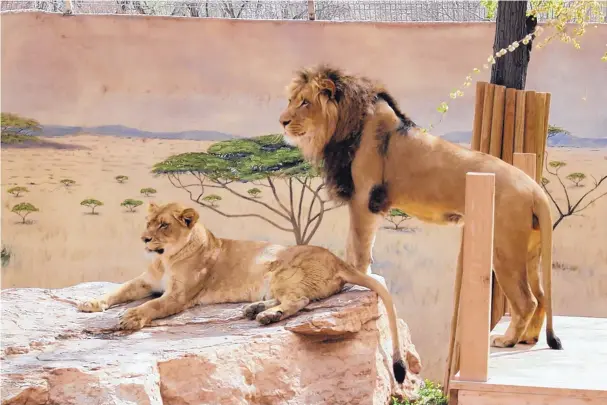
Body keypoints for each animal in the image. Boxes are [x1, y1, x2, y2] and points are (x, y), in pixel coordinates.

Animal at [78, 201, 416, 382]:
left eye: (163, 225)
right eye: (149, 222)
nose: (144, 239)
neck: (166, 258)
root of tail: (338, 259)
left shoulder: (178, 296)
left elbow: (150, 307)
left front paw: (130, 318)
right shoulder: (145, 282)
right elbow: (118, 291)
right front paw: (91, 303)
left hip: (282, 272)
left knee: (299, 301)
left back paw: (267, 316)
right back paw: (254, 309)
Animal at [278, 63, 564, 350]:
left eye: (305, 102)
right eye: (291, 100)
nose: (282, 121)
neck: (346, 124)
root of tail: (535, 189)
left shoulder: (364, 199)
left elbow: (358, 246)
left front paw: (355, 278)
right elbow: (357, 244)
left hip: (505, 250)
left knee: (527, 301)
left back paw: (507, 340)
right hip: (530, 251)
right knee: (541, 297)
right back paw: (528, 338)